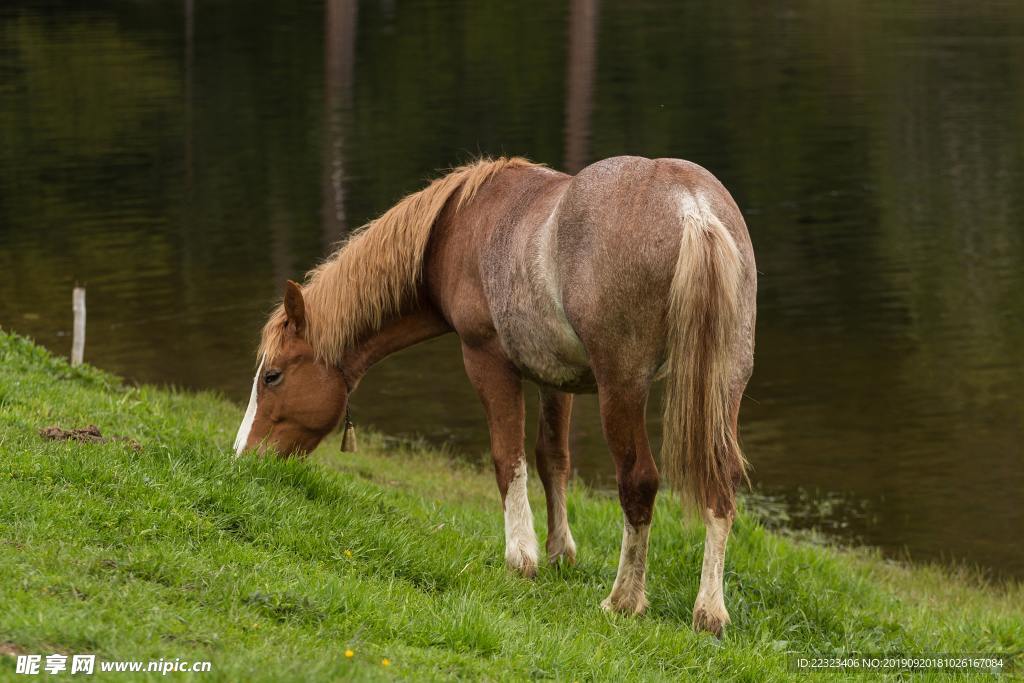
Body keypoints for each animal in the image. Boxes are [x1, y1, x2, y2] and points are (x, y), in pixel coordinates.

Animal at [235, 154, 757, 634]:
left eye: (272, 377)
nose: (243, 457)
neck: (453, 228)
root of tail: (692, 207)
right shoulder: (556, 378)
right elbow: (552, 459)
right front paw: (560, 553)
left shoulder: (486, 360)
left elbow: (508, 459)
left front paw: (520, 557)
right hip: (724, 383)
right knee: (721, 484)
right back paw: (709, 612)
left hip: (622, 387)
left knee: (639, 482)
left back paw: (624, 600)